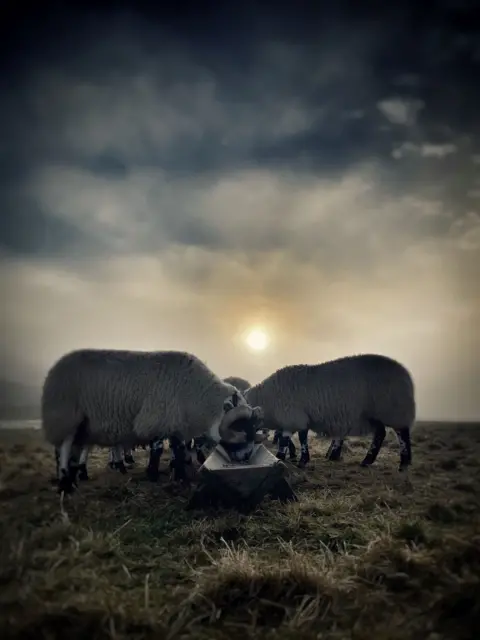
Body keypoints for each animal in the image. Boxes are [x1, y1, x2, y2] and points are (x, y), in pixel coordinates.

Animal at [41, 350, 264, 496]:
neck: (200, 397)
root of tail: (54, 369)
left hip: (82, 426)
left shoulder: (175, 423)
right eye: (240, 427)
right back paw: (65, 484)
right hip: (66, 416)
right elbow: (157, 449)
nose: (246, 457)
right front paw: (154, 474)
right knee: (64, 448)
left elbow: (178, 450)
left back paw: (75, 478)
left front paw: (180, 476)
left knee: (74, 450)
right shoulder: (157, 419)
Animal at [246, 352, 414, 472]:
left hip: (393, 409)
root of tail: (405, 373)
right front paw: (295, 458)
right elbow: (295, 438)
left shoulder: (292, 416)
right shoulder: (296, 418)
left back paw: (404, 463)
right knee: (380, 433)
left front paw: (288, 458)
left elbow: (292, 439)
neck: (266, 398)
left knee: (402, 433)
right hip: (373, 414)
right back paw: (367, 461)